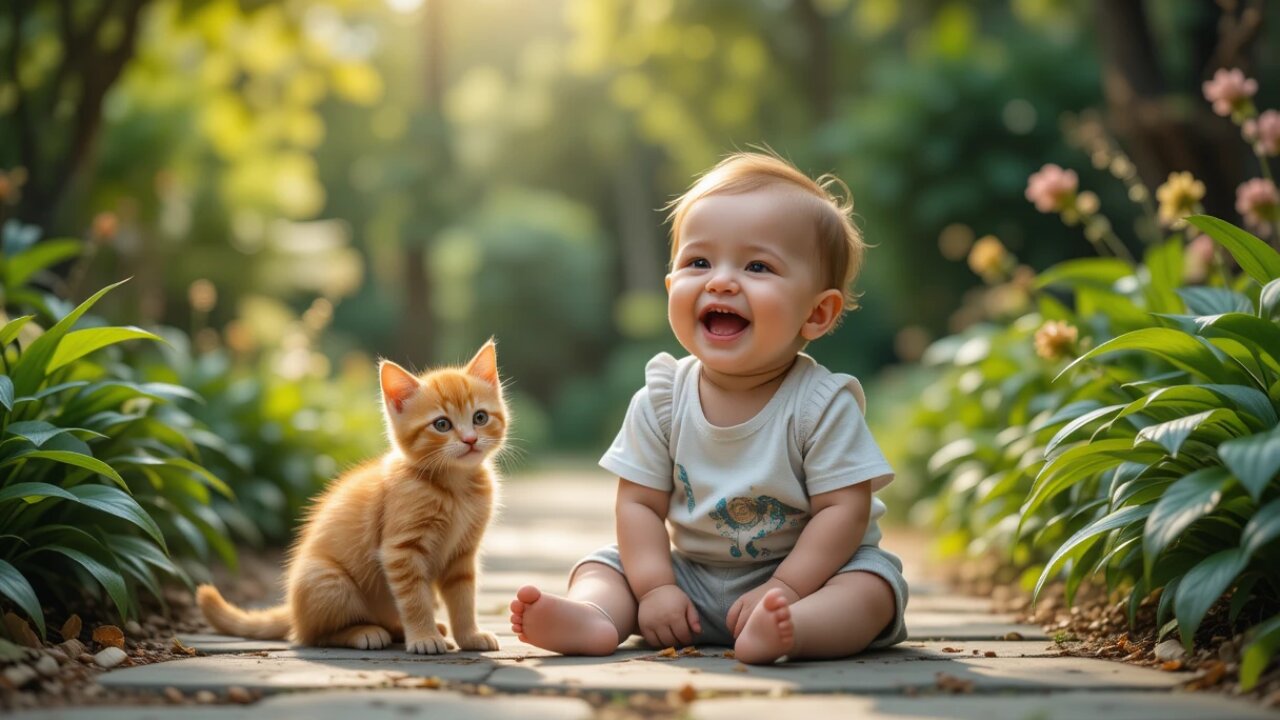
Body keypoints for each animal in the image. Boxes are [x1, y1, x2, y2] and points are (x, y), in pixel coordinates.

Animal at [194, 340, 504, 650]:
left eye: (480, 417)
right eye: (442, 425)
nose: (470, 439)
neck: (456, 486)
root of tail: (293, 611)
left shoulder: (463, 554)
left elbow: (463, 598)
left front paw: (469, 636)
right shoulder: (400, 551)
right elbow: (414, 599)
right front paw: (424, 637)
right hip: (329, 581)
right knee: (312, 635)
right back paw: (365, 632)